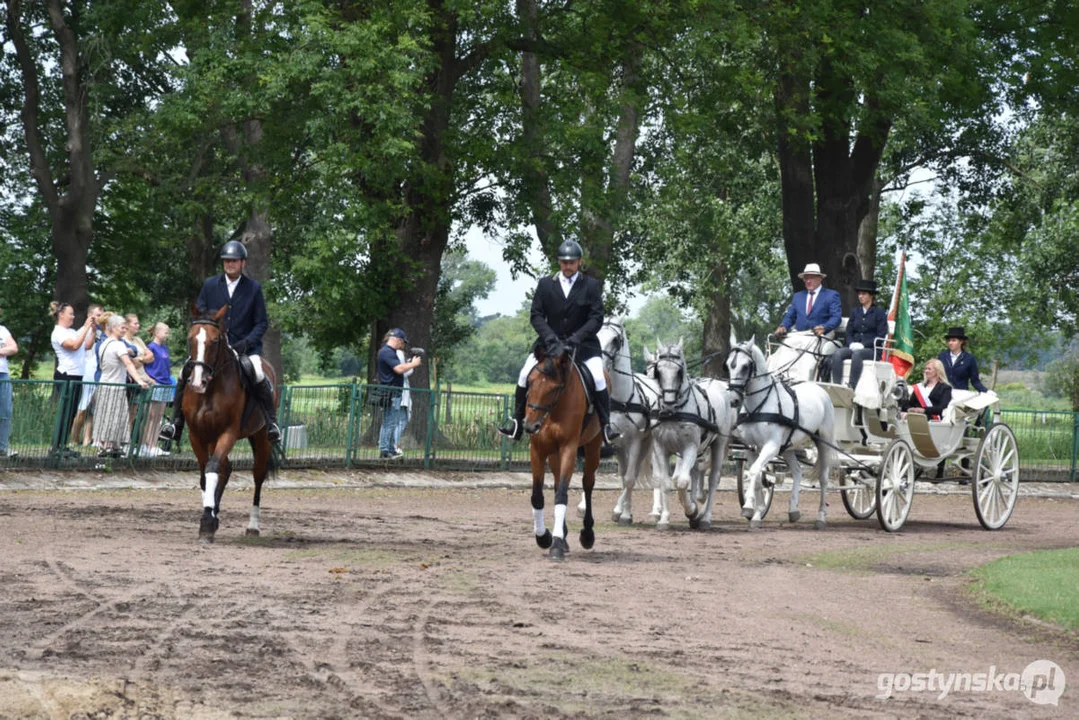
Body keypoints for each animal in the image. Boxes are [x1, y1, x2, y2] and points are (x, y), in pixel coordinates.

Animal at [181, 302, 276, 544]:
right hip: (211, 438)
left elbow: (213, 467)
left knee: (257, 474)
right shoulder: (197, 435)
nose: (197, 382)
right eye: (190, 338)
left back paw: (253, 526)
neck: (210, 390)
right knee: (225, 468)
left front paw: (207, 522)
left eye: (215, 341)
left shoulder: (228, 432)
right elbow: (206, 474)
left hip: (261, 436)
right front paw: (209, 518)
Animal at [524, 345, 608, 561]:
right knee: (555, 483)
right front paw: (544, 537)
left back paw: (586, 534)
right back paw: (563, 533)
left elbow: (562, 495)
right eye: (530, 382)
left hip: (593, 446)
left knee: (587, 484)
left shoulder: (569, 448)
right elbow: (537, 497)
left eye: (554, 388)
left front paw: (555, 545)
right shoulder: (537, 450)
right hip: (554, 454)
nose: (530, 426)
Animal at [643, 338, 738, 528]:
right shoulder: (660, 448)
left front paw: (692, 511)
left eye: (679, 371)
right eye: (658, 371)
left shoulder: (689, 447)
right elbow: (666, 482)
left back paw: (705, 517)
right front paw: (663, 517)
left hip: (719, 444)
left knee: (713, 478)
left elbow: (681, 481)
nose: (668, 404)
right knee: (695, 472)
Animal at [729, 338, 837, 528]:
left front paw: (748, 506)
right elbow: (758, 477)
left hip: (824, 442)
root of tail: (821, 390)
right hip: (787, 448)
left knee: (823, 479)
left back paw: (821, 517)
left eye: (745, 366)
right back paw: (793, 510)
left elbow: (755, 471)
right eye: (728, 364)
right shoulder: (751, 448)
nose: (734, 399)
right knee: (797, 471)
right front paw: (758, 512)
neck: (759, 406)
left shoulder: (771, 446)